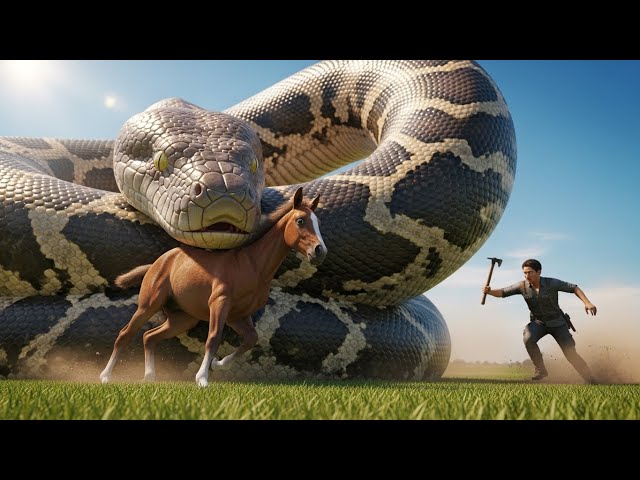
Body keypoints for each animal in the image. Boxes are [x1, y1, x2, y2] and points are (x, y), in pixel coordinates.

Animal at [99, 187, 326, 387]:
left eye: (318, 222)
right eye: (300, 220)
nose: (320, 251)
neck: (253, 266)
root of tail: (156, 263)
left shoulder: (238, 315)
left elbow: (251, 339)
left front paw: (218, 364)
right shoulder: (219, 303)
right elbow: (213, 338)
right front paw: (202, 379)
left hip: (182, 320)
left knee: (149, 337)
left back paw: (149, 377)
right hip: (148, 306)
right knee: (125, 334)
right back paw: (105, 377)